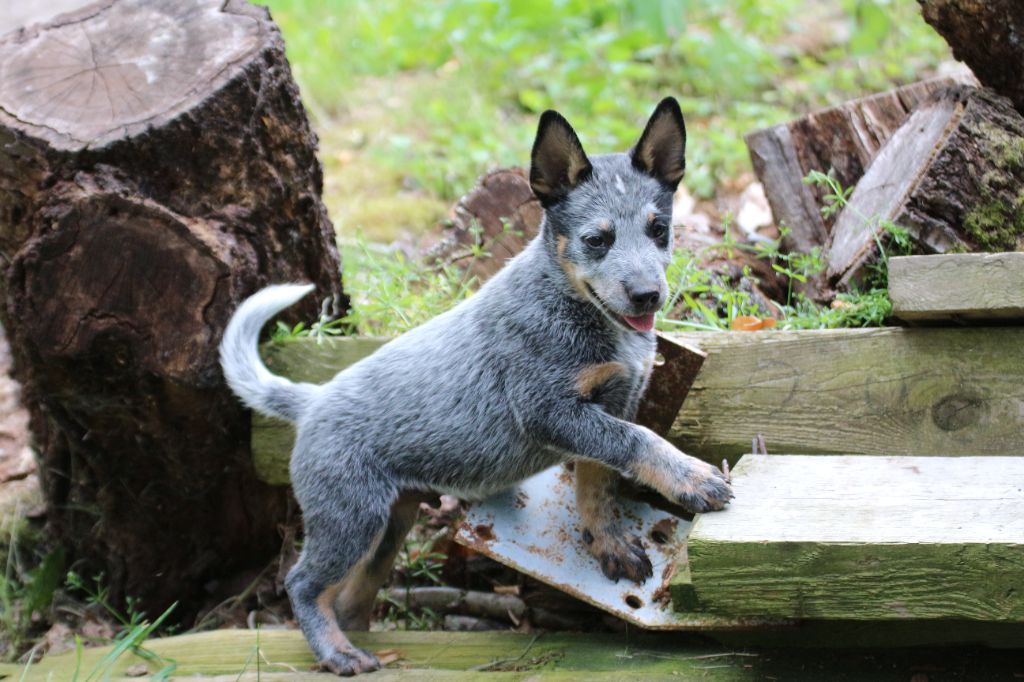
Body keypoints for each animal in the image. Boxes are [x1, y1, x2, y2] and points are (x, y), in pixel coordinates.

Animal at [220, 96, 733, 675]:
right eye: (596, 240)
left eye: (659, 229)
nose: (648, 295)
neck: (575, 307)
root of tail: (313, 400)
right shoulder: (550, 411)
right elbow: (641, 442)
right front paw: (692, 478)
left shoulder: (613, 406)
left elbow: (599, 484)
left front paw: (610, 544)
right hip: (350, 515)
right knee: (302, 584)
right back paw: (338, 654)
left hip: (388, 526)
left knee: (350, 597)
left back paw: (363, 643)